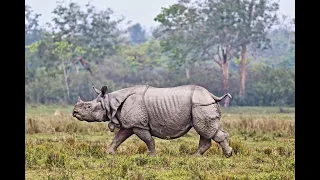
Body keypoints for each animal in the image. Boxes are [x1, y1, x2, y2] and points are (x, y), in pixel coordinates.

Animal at [72, 84, 232, 158]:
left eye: (88, 107)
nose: (74, 112)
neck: (111, 102)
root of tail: (211, 95)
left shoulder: (139, 125)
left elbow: (148, 140)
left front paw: (151, 156)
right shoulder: (130, 124)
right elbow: (118, 138)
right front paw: (109, 153)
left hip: (201, 104)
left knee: (205, 130)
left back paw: (228, 154)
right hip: (201, 104)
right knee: (205, 131)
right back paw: (195, 156)